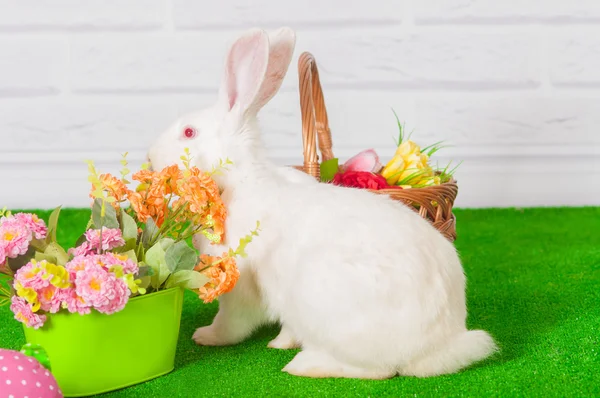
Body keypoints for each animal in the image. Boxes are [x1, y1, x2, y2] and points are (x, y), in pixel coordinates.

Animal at [146, 26, 496, 378]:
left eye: (188, 132)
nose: (150, 156)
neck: (238, 180)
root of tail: (437, 345)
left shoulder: (240, 283)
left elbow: (232, 321)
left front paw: (206, 336)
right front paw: (280, 342)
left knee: (378, 370)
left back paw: (305, 365)